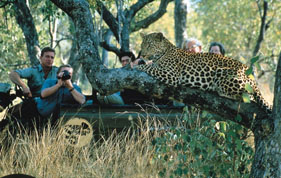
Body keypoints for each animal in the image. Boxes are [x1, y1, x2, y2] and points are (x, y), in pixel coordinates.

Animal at [136, 31, 272, 112]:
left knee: (248, 96)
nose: (142, 55)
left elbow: (150, 68)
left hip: (224, 74)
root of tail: (251, 76)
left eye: (149, 45)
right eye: (142, 45)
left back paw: (216, 90)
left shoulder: (171, 75)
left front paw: (137, 66)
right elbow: (151, 66)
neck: (163, 53)